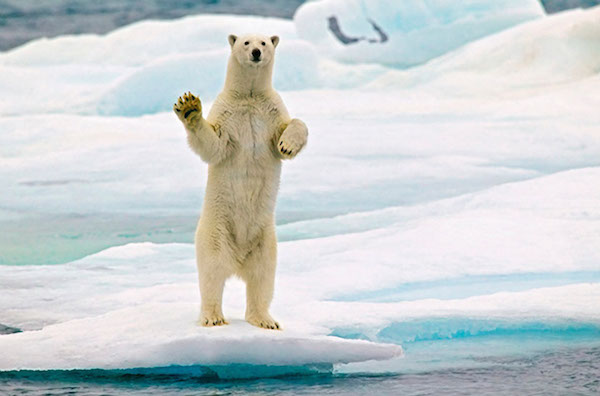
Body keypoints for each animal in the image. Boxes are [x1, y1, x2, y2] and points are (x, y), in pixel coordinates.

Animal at [171, 34, 308, 332]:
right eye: (246, 42)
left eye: (265, 42)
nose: (256, 52)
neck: (249, 97)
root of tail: (238, 261)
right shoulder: (227, 114)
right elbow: (214, 145)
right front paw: (189, 107)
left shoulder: (271, 112)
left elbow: (292, 127)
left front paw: (288, 145)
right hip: (215, 231)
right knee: (212, 273)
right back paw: (213, 317)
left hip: (265, 239)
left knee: (262, 277)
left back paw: (265, 320)